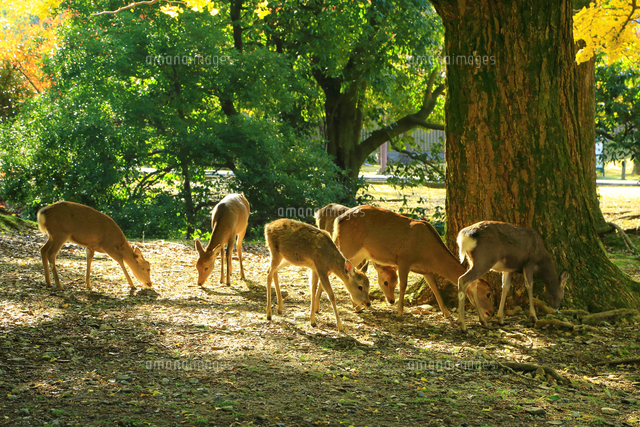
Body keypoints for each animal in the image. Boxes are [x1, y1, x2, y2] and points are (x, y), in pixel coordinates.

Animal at [332, 205, 494, 326]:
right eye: (488, 293)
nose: (491, 313)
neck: (428, 254)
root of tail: (337, 221)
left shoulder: (426, 270)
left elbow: (434, 288)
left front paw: (448, 314)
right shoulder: (404, 259)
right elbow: (403, 285)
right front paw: (399, 313)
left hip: (359, 252)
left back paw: (356, 306)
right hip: (347, 245)